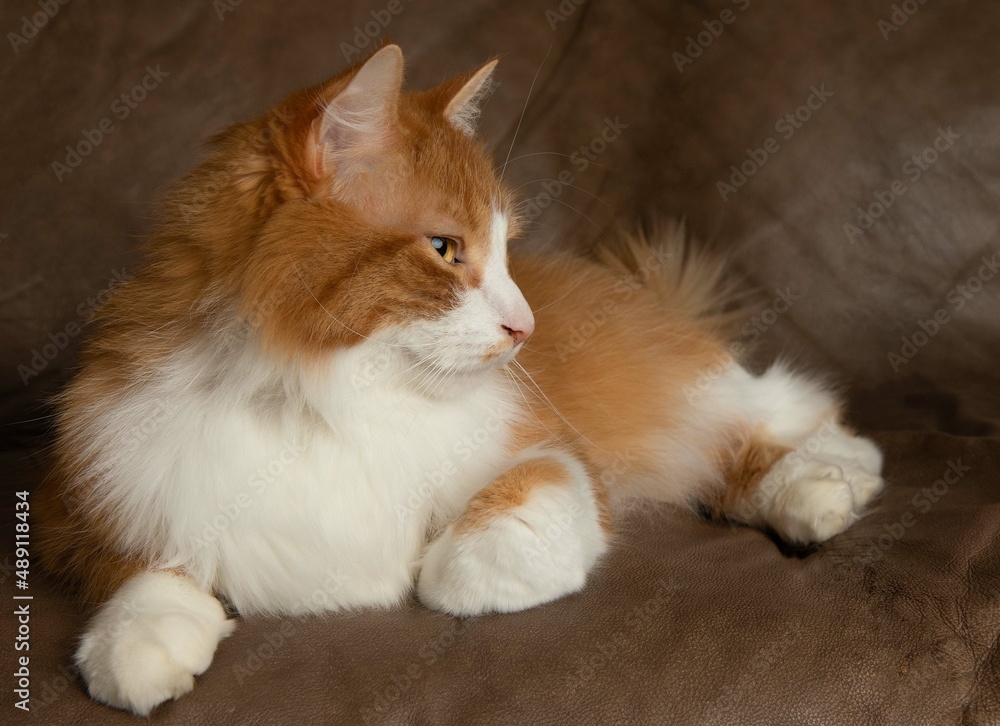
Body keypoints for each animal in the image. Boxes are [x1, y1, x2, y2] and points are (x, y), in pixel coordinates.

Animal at [37, 44, 884, 716]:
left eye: (505, 250)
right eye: (446, 249)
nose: (525, 328)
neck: (328, 393)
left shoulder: (557, 456)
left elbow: (476, 554)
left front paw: (427, 570)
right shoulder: (89, 500)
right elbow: (149, 573)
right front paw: (139, 645)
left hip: (679, 385)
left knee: (784, 411)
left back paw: (830, 481)